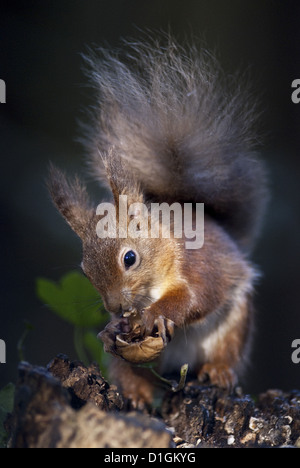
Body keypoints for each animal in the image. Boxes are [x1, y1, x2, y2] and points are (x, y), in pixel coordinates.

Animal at [48, 37, 268, 406]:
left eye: (129, 258)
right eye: (85, 271)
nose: (115, 307)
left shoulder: (199, 265)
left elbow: (196, 298)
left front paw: (153, 315)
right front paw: (111, 329)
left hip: (236, 324)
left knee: (227, 351)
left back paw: (219, 371)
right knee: (134, 373)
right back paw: (136, 392)